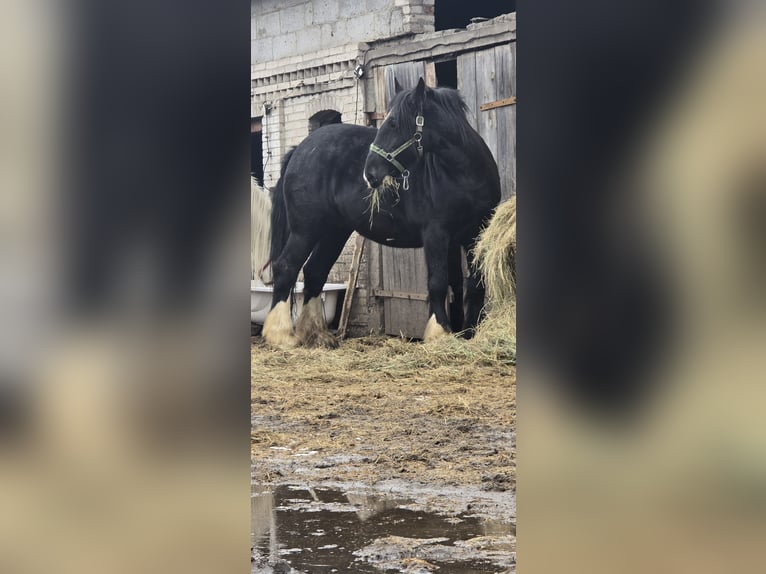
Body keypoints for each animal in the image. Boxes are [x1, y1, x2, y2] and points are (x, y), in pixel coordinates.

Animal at [263, 77, 501, 348]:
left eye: (395, 123)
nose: (370, 174)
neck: (464, 175)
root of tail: (299, 150)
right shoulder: (436, 234)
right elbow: (438, 282)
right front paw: (440, 333)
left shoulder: (475, 235)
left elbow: (473, 283)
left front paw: (469, 332)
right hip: (306, 230)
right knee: (286, 267)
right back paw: (281, 335)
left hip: (334, 232)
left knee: (314, 272)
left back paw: (317, 334)